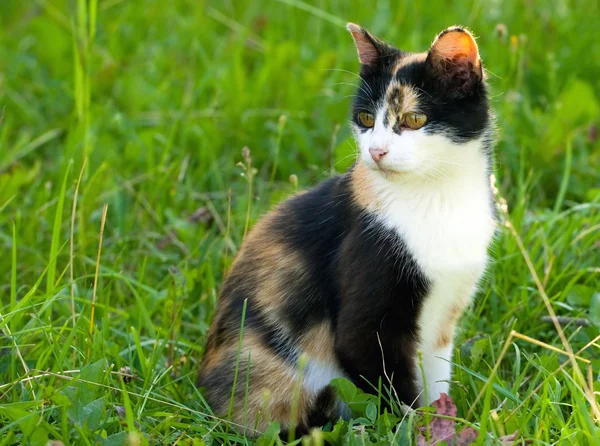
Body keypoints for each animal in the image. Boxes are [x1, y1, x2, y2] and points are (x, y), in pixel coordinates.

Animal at [198, 22, 496, 438]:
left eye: (414, 120)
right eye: (366, 118)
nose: (376, 151)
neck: (435, 196)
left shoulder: (444, 314)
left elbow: (435, 375)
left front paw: (444, 421)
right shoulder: (367, 297)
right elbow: (387, 380)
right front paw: (413, 429)